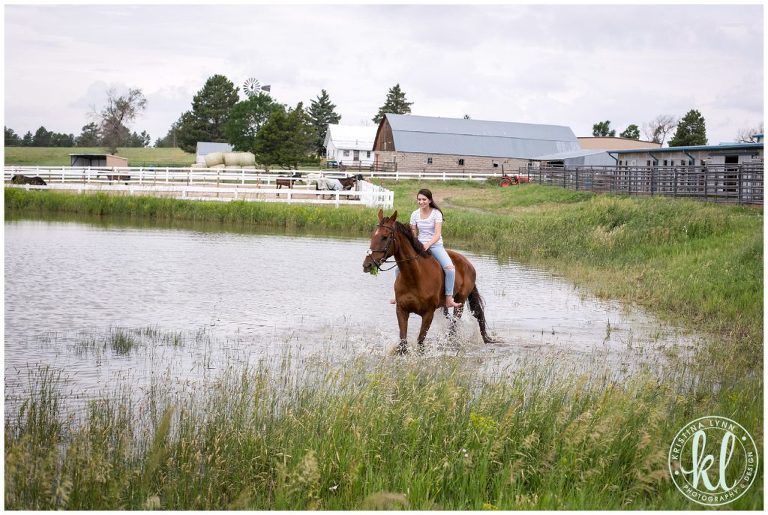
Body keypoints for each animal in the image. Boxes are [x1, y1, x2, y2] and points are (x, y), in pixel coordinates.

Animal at [362, 209, 493, 354]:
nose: (367, 265)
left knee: (454, 326)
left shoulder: (428, 314)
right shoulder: (401, 310)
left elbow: (420, 342)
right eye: (373, 235)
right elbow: (403, 341)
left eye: (385, 237)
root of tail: (469, 264)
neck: (415, 277)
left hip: (460, 302)